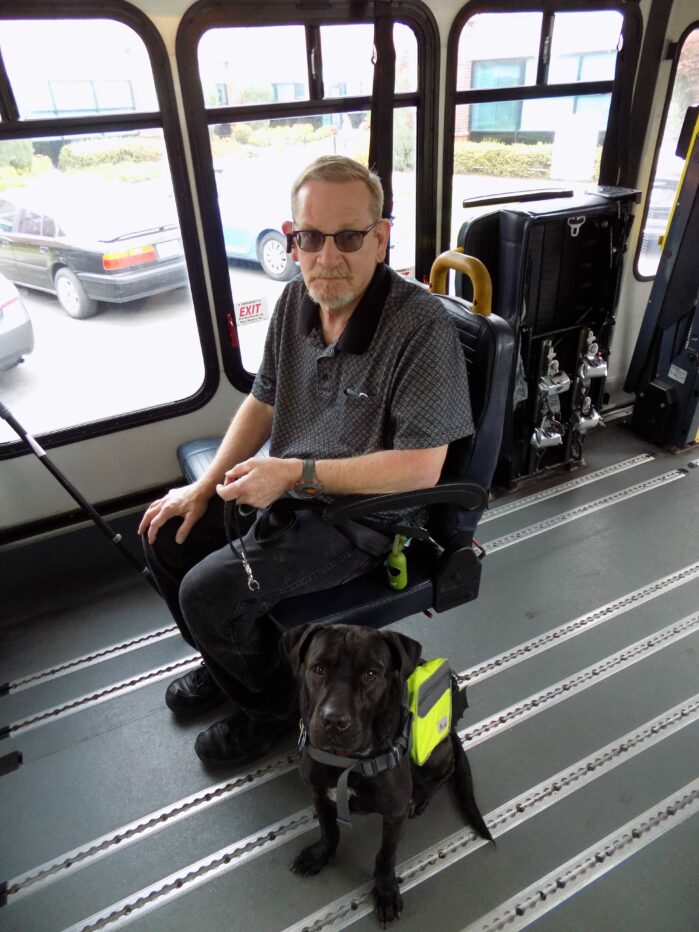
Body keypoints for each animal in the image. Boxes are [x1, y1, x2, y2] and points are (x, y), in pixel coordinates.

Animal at [284, 628, 492, 924]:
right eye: (318, 668)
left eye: (371, 674)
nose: (334, 721)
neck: (346, 761)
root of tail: (451, 729)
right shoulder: (319, 793)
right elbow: (328, 829)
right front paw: (320, 855)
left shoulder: (394, 815)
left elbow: (385, 856)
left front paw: (385, 891)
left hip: (433, 755)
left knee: (448, 768)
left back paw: (421, 796)